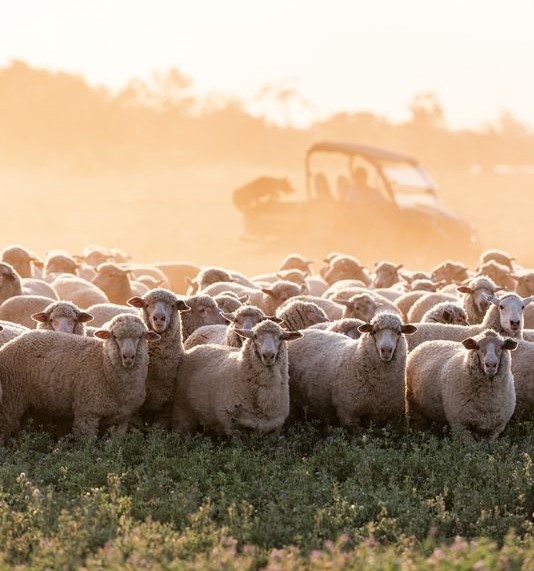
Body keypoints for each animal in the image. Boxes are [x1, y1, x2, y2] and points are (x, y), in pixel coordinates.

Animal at [0, 312, 159, 442]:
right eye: (115, 337)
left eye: (140, 337)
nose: (128, 356)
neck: (103, 364)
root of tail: (12, 342)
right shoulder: (87, 412)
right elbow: (86, 446)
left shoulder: (122, 418)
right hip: (11, 400)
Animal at [174, 320, 304, 436]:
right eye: (255, 336)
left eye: (281, 337)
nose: (268, 355)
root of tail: (199, 346)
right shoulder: (232, 426)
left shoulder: (275, 427)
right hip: (183, 412)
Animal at [288, 312, 418, 428]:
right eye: (374, 331)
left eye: (399, 332)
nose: (386, 350)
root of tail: (303, 332)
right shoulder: (349, 415)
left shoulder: (391, 416)